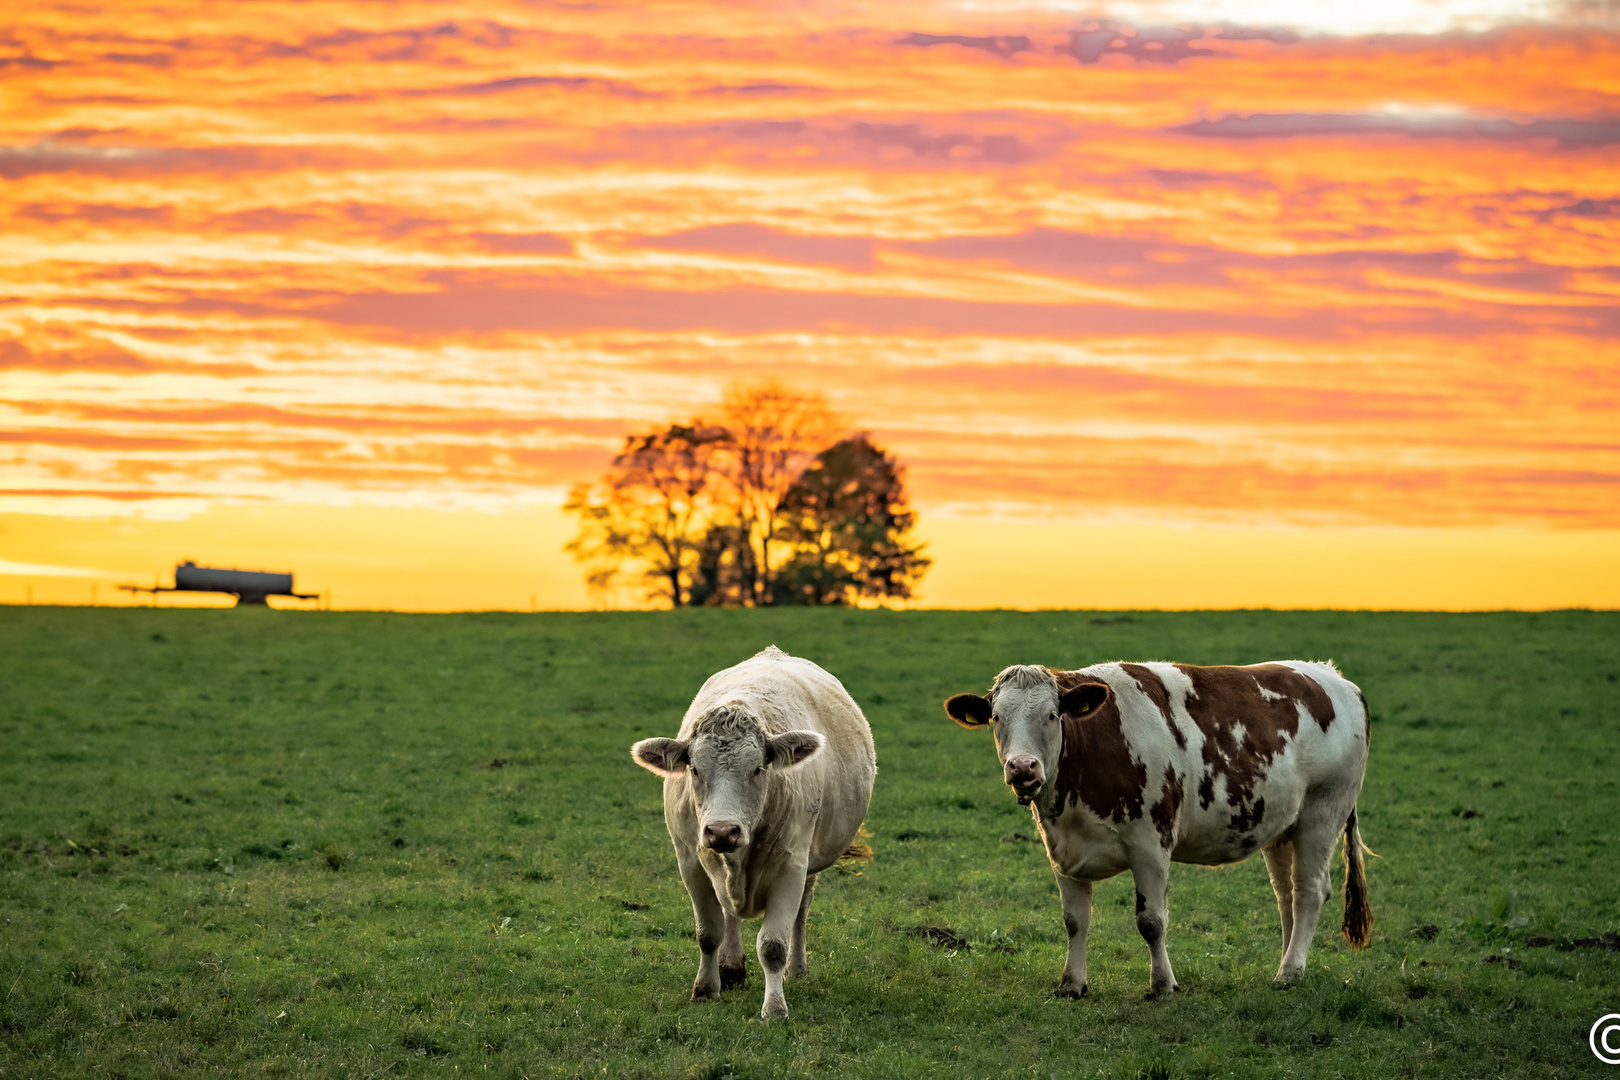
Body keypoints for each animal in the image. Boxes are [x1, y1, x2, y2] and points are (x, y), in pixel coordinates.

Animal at [628, 650, 874, 1023]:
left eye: (758, 768)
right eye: (694, 769)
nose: (722, 830)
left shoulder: (791, 865)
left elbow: (773, 945)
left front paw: (774, 1007)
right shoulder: (690, 862)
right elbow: (708, 933)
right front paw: (706, 989)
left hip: (811, 863)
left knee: (801, 912)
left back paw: (796, 968)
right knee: (729, 913)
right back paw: (730, 967)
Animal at [946, 660, 1373, 997]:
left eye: (1052, 715)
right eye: (996, 717)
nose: (1023, 767)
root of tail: (1337, 679)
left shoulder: (1151, 844)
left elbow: (1151, 921)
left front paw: (1163, 984)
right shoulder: (1062, 850)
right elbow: (1074, 921)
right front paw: (1072, 984)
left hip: (1323, 810)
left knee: (1310, 892)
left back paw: (1290, 971)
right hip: (1282, 824)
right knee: (1287, 896)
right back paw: (1287, 961)